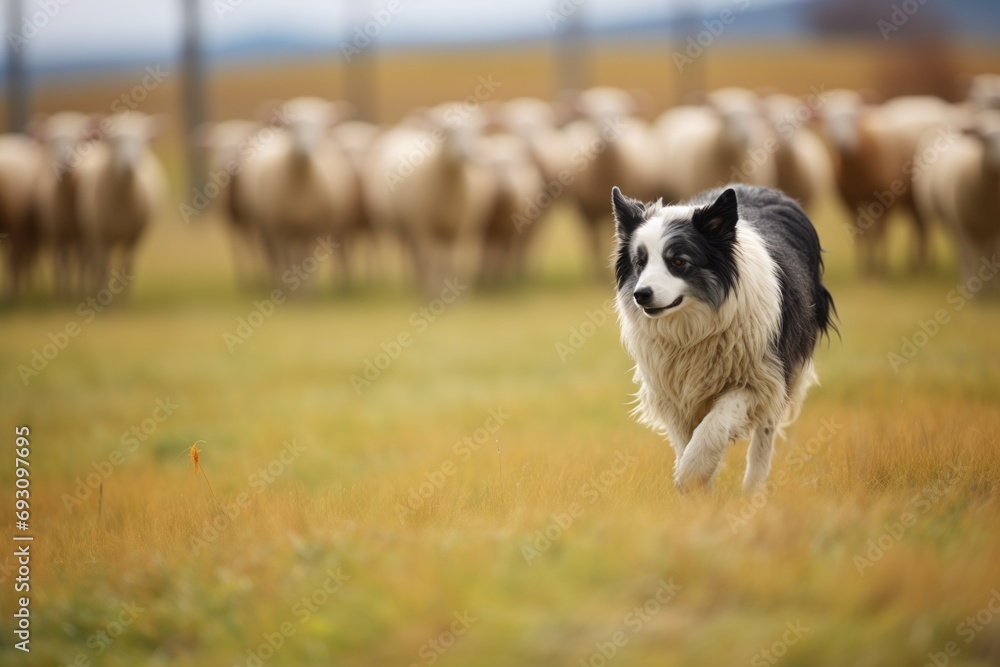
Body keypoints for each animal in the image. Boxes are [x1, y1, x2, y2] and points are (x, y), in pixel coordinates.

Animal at [76, 112, 166, 292]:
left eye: (143, 140)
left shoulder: (133, 237)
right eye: (114, 140)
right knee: (89, 262)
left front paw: (122, 295)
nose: (129, 165)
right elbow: (102, 268)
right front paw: (101, 291)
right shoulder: (102, 236)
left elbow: (126, 267)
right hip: (88, 233)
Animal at [608, 185, 836, 494]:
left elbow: (715, 425)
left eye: (678, 261)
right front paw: (699, 492)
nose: (641, 294)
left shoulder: (759, 379)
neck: (694, 330)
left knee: (765, 433)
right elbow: (686, 440)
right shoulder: (674, 391)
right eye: (639, 263)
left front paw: (691, 474)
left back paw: (753, 490)